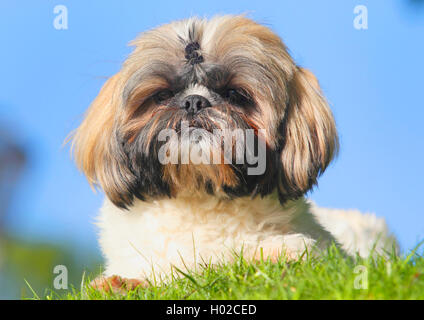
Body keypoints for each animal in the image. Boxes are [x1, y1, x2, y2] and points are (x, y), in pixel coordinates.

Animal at [72, 15, 394, 290]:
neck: (200, 195)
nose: (194, 101)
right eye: (161, 96)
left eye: (235, 95)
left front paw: (278, 252)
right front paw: (119, 284)